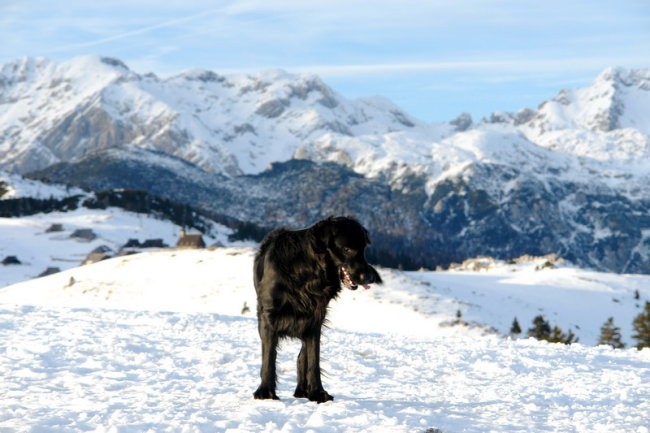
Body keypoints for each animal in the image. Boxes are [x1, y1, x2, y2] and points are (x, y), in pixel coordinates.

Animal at [249, 216, 380, 402]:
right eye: (347, 249)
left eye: (363, 248)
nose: (370, 277)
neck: (306, 273)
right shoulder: (268, 316)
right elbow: (268, 357)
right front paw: (265, 392)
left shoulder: (314, 320)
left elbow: (313, 360)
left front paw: (317, 392)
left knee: (301, 357)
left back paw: (302, 390)